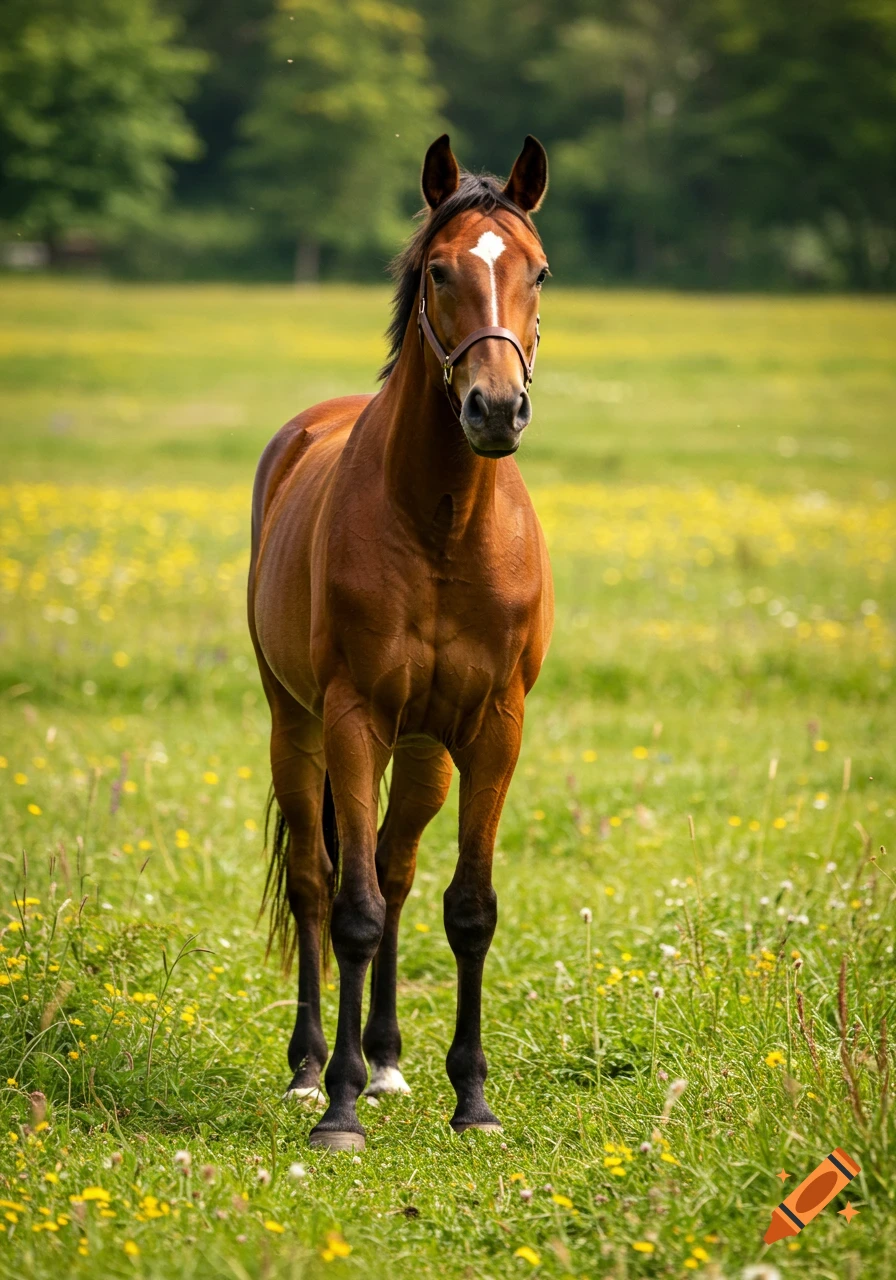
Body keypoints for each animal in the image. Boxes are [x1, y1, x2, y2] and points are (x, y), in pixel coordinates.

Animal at [248, 134, 554, 1151]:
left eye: (538, 270)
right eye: (439, 271)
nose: (494, 409)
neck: (443, 526)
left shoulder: (494, 731)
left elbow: (468, 908)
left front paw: (474, 1100)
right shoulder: (353, 720)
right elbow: (352, 914)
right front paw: (337, 1110)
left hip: (424, 754)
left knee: (397, 866)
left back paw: (384, 1060)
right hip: (297, 729)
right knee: (318, 880)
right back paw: (314, 1069)